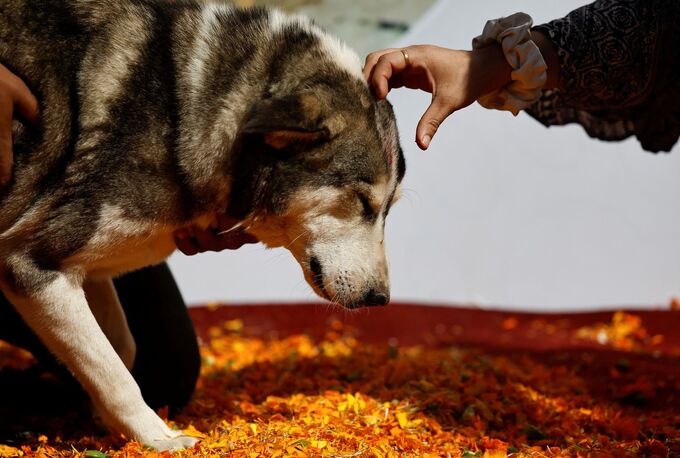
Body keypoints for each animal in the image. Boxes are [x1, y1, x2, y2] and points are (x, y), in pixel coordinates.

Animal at [0, 0, 404, 450]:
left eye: (390, 207)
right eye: (363, 201)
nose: (379, 299)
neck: (182, 111)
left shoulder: (85, 270)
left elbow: (120, 350)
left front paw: (105, 421)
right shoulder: (32, 264)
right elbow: (114, 372)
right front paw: (159, 440)